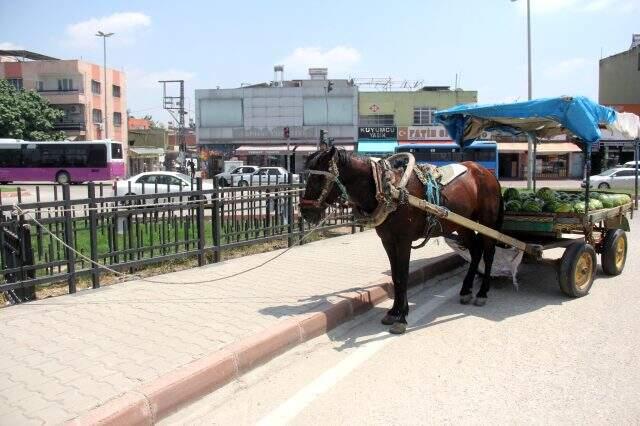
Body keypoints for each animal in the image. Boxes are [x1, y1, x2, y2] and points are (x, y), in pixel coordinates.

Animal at [300, 146, 504, 332]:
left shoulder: (404, 241)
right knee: (476, 252)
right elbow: (396, 276)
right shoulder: (388, 241)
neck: (387, 189)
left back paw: (482, 293)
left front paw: (402, 318)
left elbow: (403, 275)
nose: (305, 212)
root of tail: (487, 173)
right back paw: (466, 290)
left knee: (488, 254)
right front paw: (394, 312)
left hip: (488, 223)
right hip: (463, 226)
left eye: (319, 178)